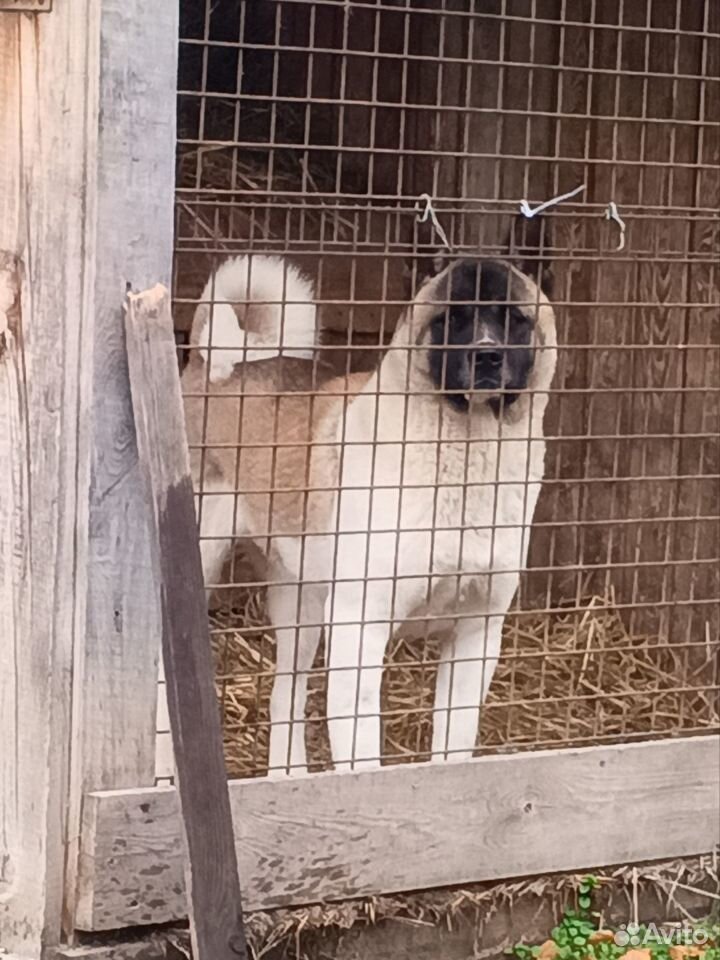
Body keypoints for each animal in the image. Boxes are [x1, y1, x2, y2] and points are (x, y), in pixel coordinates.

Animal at [181, 229, 556, 776]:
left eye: (514, 318)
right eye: (450, 319)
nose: (486, 357)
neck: (469, 450)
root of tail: (218, 364)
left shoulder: (476, 638)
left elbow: (453, 751)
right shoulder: (360, 631)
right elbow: (363, 763)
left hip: (301, 604)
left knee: (286, 696)